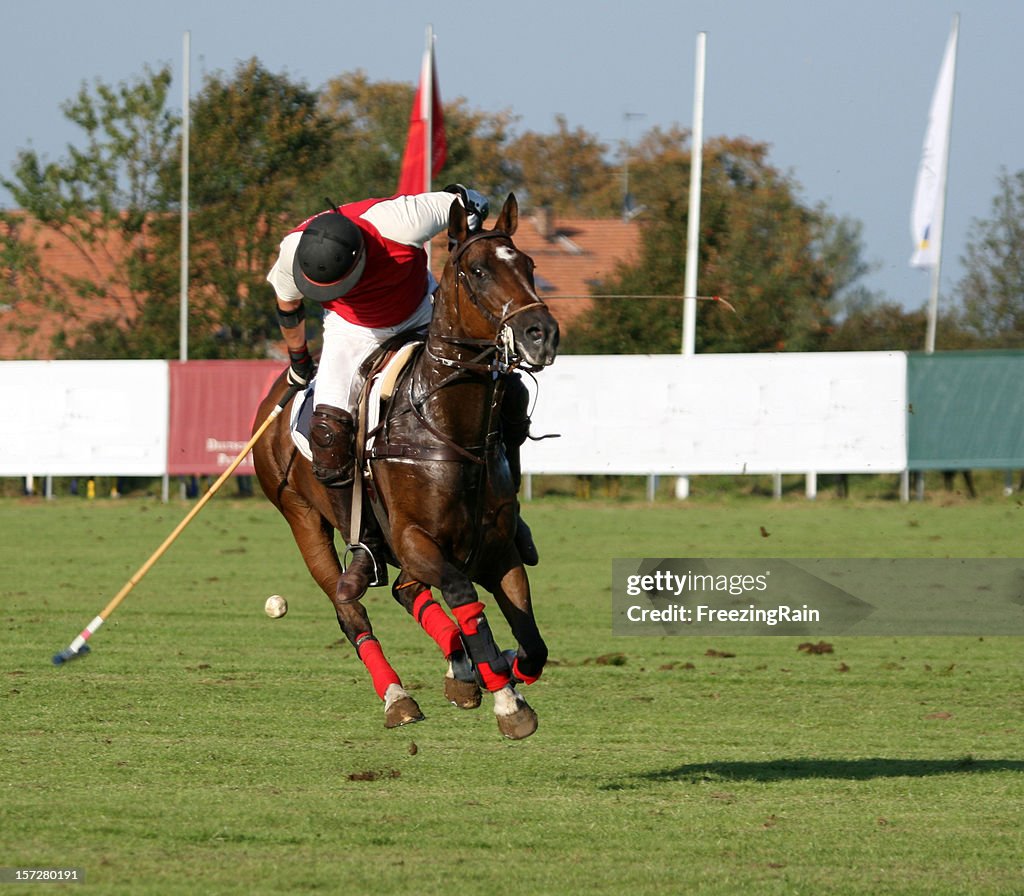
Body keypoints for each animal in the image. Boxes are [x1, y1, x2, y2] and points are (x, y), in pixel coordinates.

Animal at [253, 192, 561, 741]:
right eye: (478, 271)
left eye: (529, 264)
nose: (540, 334)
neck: (448, 427)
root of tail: (274, 399)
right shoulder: (417, 539)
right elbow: (462, 594)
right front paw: (506, 699)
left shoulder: (498, 547)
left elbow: (532, 647)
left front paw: (497, 672)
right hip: (302, 517)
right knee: (350, 608)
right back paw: (398, 695)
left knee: (406, 590)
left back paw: (460, 672)